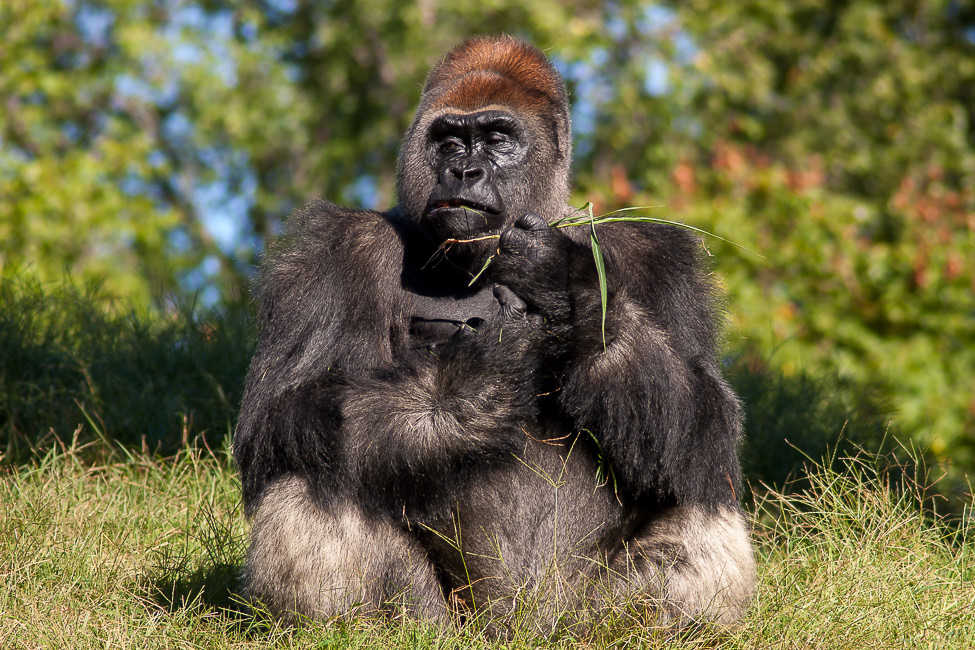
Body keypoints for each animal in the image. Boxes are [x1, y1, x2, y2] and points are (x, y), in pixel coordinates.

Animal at [233, 35, 756, 632]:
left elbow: (704, 416)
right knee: (315, 466)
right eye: (449, 142)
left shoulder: (657, 254)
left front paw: (570, 287)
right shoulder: (335, 247)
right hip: (451, 620)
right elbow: (282, 409)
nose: (464, 172)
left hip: (581, 615)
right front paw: (479, 387)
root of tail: (520, 628)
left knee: (696, 477)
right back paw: (364, 629)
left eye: (497, 139)